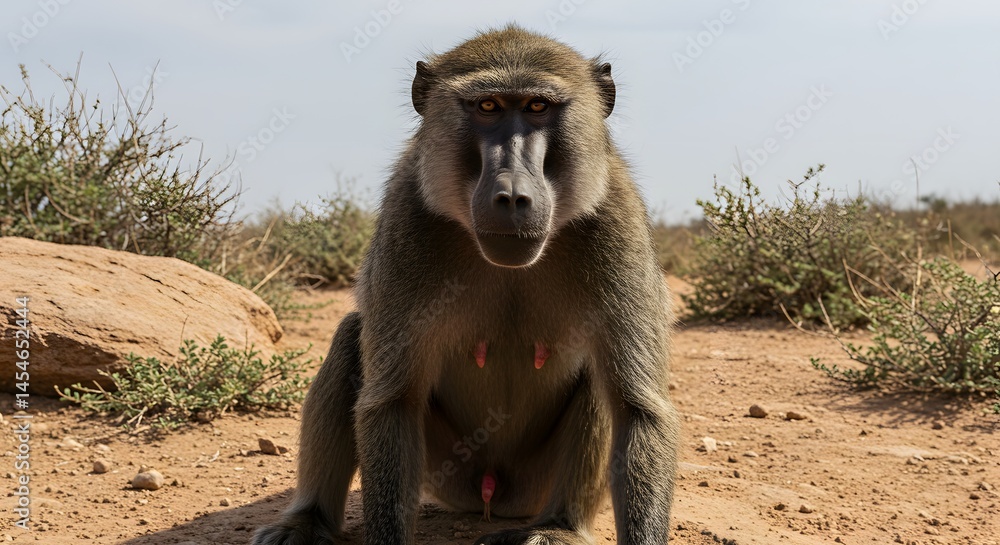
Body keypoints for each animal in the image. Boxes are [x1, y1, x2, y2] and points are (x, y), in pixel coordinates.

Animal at [252, 25, 679, 545]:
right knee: (352, 337)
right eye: (488, 107)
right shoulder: (408, 216)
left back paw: (558, 526)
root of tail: (492, 496)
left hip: (530, 486)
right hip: (448, 473)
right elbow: (393, 402)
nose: (511, 195)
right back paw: (306, 521)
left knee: (599, 378)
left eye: (537, 106)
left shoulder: (618, 219)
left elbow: (638, 409)